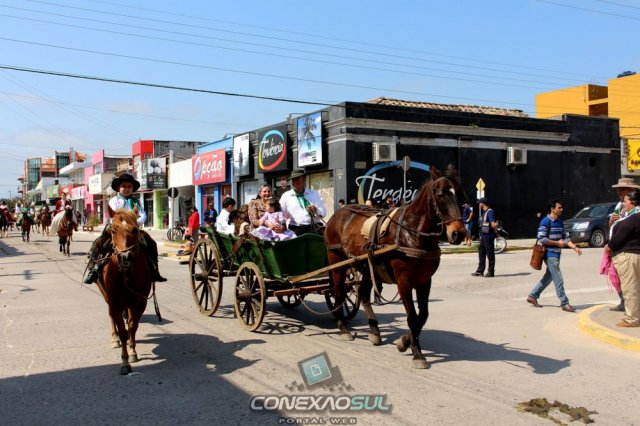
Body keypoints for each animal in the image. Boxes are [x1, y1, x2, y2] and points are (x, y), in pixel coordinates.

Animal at [96, 208, 153, 375]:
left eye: (134, 230)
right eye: (113, 230)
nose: (125, 257)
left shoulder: (139, 302)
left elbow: (133, 326)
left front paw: (133, 352)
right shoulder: (114, 303)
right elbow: (122, 331)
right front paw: (125, 362)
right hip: (106, 296)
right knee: (111, 318)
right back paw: (114, 339)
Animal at [324, 165, 466, 369]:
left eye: (459, 193)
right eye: (440, 194)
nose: (458, 233)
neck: (413, 232)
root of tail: (338, 213)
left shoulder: (425, 281)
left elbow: (423, 316)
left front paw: (405, 342)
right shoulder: (404, 281)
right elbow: (412, 317)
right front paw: (417, 353)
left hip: (368, 267)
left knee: (364, 294)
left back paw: (375, 331)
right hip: (337, 261)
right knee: (338, 291)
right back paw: (343, 327)